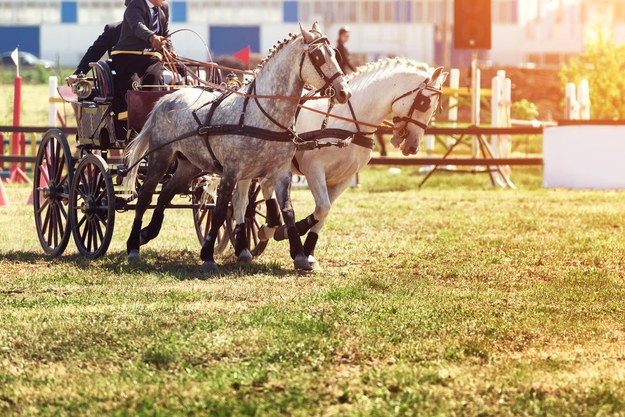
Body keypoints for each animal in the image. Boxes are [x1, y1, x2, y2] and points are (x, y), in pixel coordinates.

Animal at [123, 22, 352, 272]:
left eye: (335, 54)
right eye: (318, 56)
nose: (344, 92)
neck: (262, 115)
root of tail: (166, 98)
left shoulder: (281, 172)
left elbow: (287, 210)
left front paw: (300, 255)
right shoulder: (232, 171)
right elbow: (222, 209)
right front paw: (208, 255)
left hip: (189, 164)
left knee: (165, 193)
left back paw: (147, 233)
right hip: (161, 156)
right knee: (145, 197)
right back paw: (133, 246)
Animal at [232, 58, 446, 268]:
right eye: (425, 103)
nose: (412, 147)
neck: (349, 122)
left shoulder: (344, 178)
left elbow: (324, 213)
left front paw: (307, 253)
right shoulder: (314, 170)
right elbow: (322, 208)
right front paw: (287, 233)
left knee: (265, 185)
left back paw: (270, 226)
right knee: (241, 201)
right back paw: (244, 247)